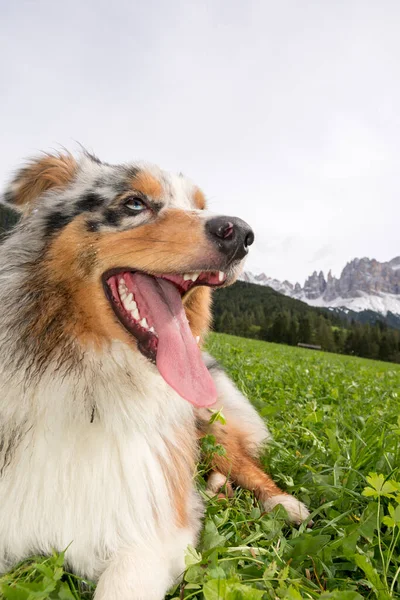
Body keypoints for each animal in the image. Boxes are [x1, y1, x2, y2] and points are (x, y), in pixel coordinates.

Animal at [0, 151, 310, 600]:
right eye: (134, 203)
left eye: (199, 205)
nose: (241, 233)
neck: (91, 383)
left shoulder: (154, 527)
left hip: (207, 425)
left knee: (244, 462)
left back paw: (284, 504)